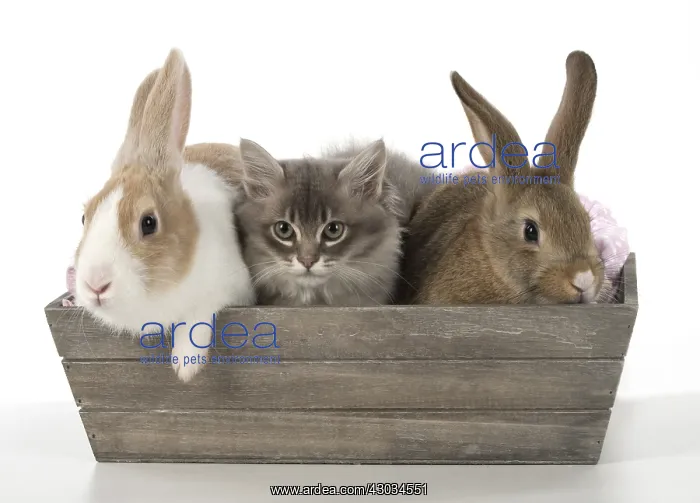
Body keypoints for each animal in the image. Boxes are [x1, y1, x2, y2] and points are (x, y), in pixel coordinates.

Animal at [71, 48, 255, 382]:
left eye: (148, 223)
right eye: (83, 218)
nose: (95, 286)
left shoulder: (230, 286)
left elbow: (197, 317)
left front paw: (185, 364)